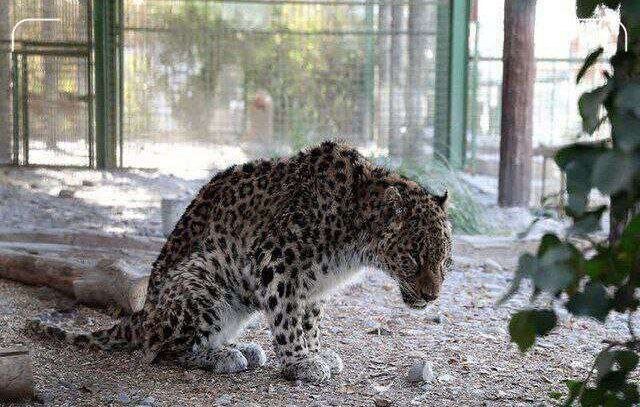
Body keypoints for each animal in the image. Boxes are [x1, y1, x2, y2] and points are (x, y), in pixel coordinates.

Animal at [28, 142, 450, 384]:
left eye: (444, 260)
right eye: (413, 258)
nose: (431, 296)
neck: (355, 239)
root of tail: (144, 313)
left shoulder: (314, 286)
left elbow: (309, 321)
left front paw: (317, 352)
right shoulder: (275, 263)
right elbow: (288, 320)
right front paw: (302, 363)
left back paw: (242, 347)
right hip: (201, 280)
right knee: (163, 350)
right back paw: (223, 356)